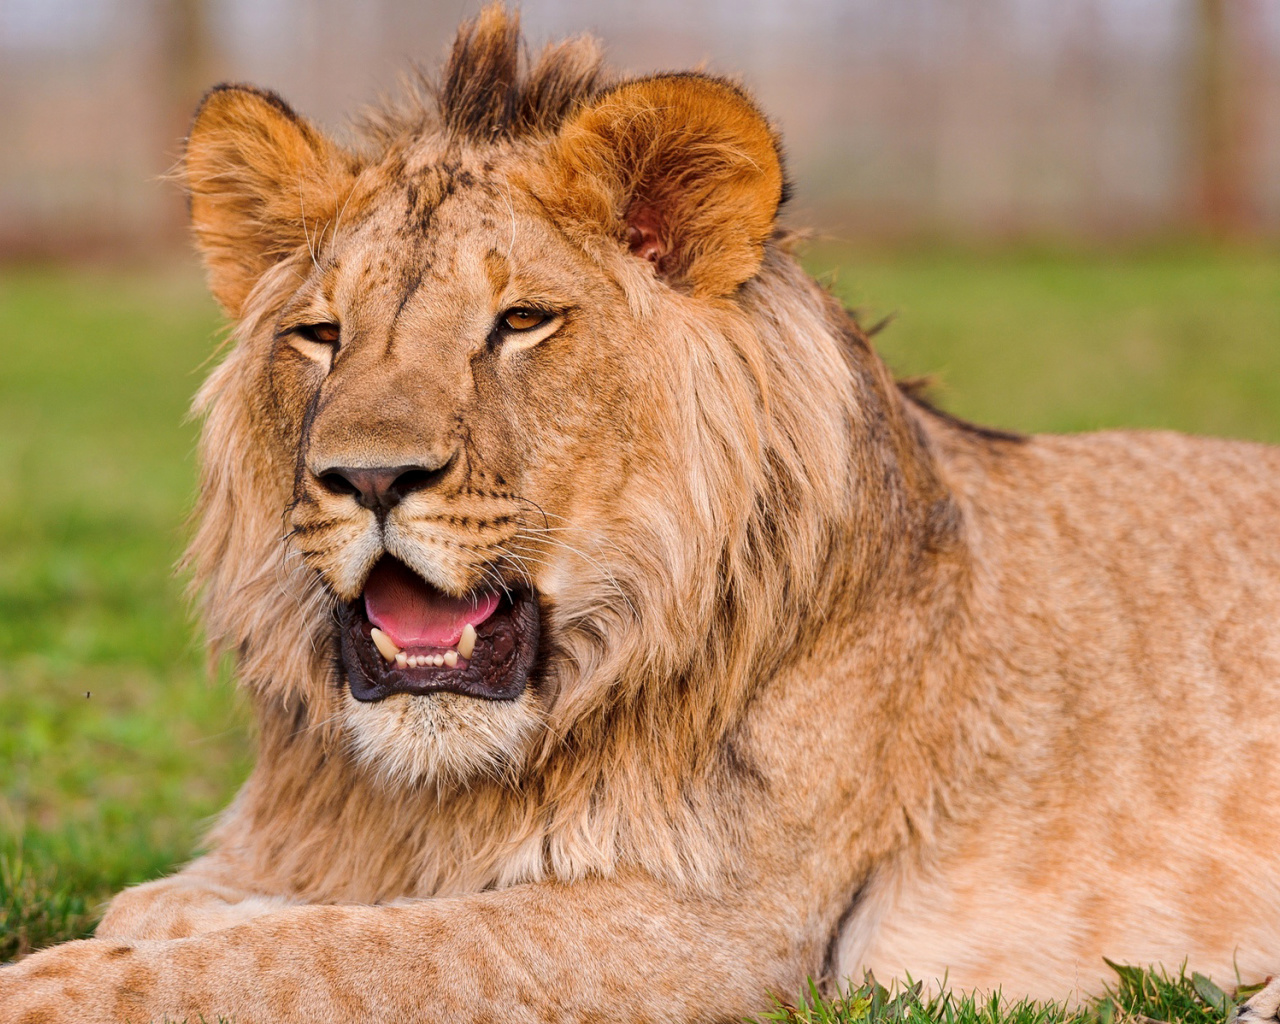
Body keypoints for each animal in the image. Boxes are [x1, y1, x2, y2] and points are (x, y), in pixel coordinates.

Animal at [7, 8, 1280, 1024]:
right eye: (319, 334)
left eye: (519, 321)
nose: (367, 477)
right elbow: (182, 909)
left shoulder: (718, 930)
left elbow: (326, 957)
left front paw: (48, 982)